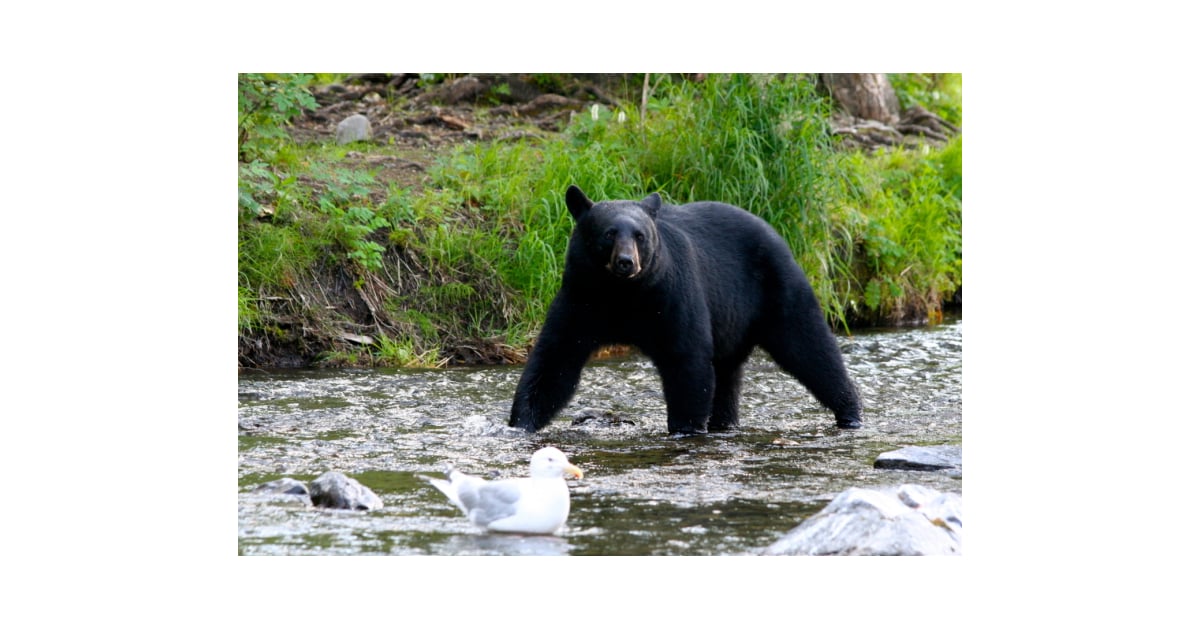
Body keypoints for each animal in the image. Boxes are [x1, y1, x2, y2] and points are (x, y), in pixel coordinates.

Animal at [509, 185, 862, 435]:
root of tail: (773, 230)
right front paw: (520, 423)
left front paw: (685, 428)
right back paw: (724, 423)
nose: (627, 263)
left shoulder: (670, 295)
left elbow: (686, 358)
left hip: (777, 288)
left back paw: (850, 412)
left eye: (640, 236)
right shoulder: (581, 298)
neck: (622, 295)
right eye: (609, 233)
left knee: (809, 347)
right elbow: (555, 360)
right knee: (727, 375)